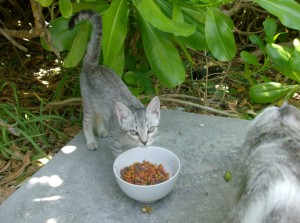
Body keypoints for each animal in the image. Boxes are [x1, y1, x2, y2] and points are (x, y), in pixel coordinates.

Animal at [69, 10, 161, 157]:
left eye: (150, 129)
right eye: (133, 132)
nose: (144, 141)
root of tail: (92, 65)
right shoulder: (115, 142)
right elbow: (119, 156)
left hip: (99, 104)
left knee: (99, 116)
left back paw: (101, 130)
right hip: (88, 104)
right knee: (86, 122)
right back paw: (91, 141)